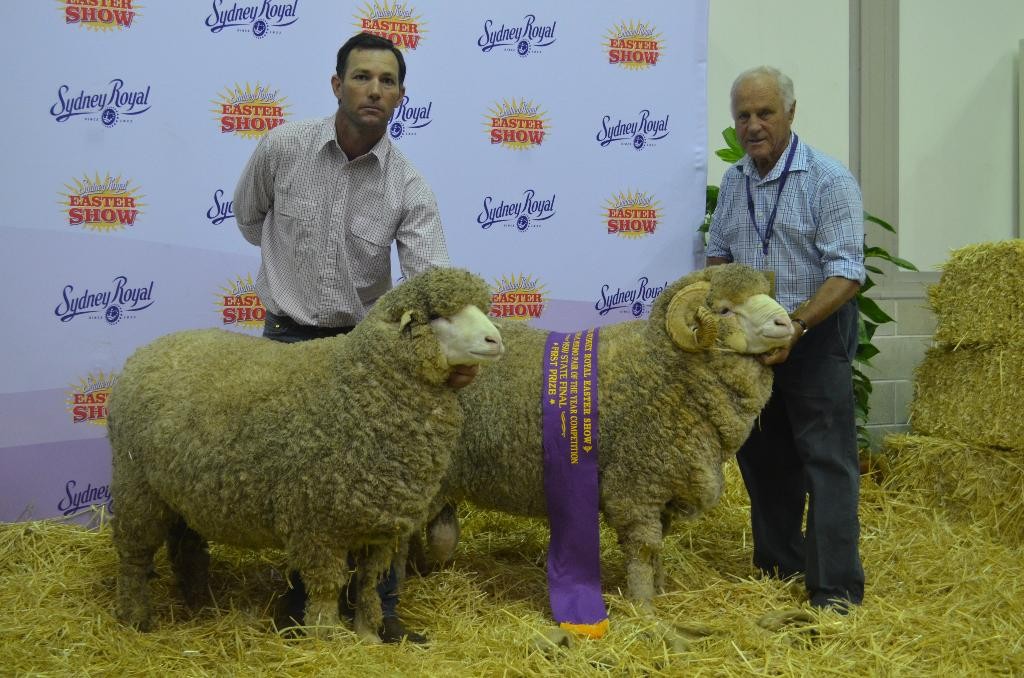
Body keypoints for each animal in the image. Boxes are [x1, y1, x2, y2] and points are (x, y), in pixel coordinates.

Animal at [109, 266, 503, 643]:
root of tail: (146, 350)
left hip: (180, 491)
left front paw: (369, 634)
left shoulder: (380, 523)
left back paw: (198, 602)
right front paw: (326, 636)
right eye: (438, 316)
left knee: (185, 546)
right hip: (136, 488)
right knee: (132, 556)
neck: (360, 387)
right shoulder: (318, 524)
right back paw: (136, 616)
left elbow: (369, 583)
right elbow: (328, 586)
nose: (495, 340)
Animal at [415, 264, 790, 606]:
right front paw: (644, 607)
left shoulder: (662, 490)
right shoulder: (636, 487)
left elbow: (657, 550)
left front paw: (659, 590)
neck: (664, 371)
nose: (786, 323)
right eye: (725, 309)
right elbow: (643, 551)